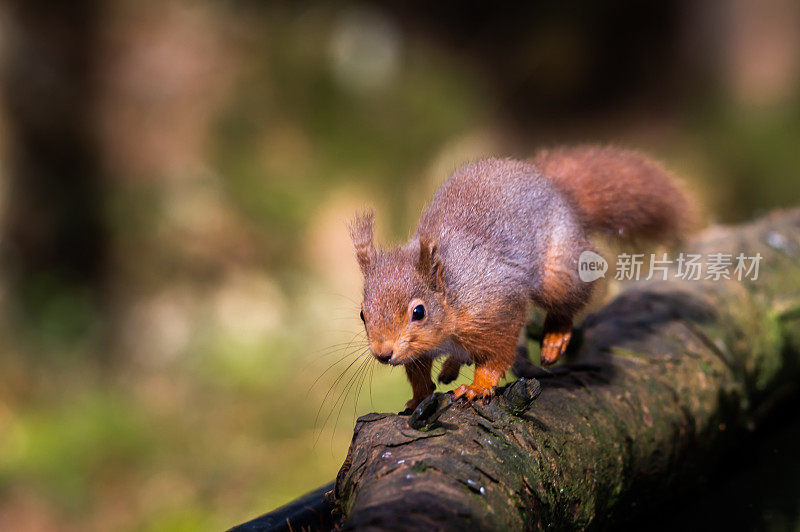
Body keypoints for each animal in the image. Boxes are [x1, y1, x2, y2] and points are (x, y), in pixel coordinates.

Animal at [350, 145, 692, 408]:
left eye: (419, 312)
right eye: (363, 315)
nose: (383, 353)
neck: (453, 292)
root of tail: (554, 187)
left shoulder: (497, 306)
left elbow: (499, 352)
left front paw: (478, 387)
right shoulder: (419, 350)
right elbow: (417, 372)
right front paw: (419, 398)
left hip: (557, 272)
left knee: (570, 299)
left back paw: (555, 337)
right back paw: (450, 367)